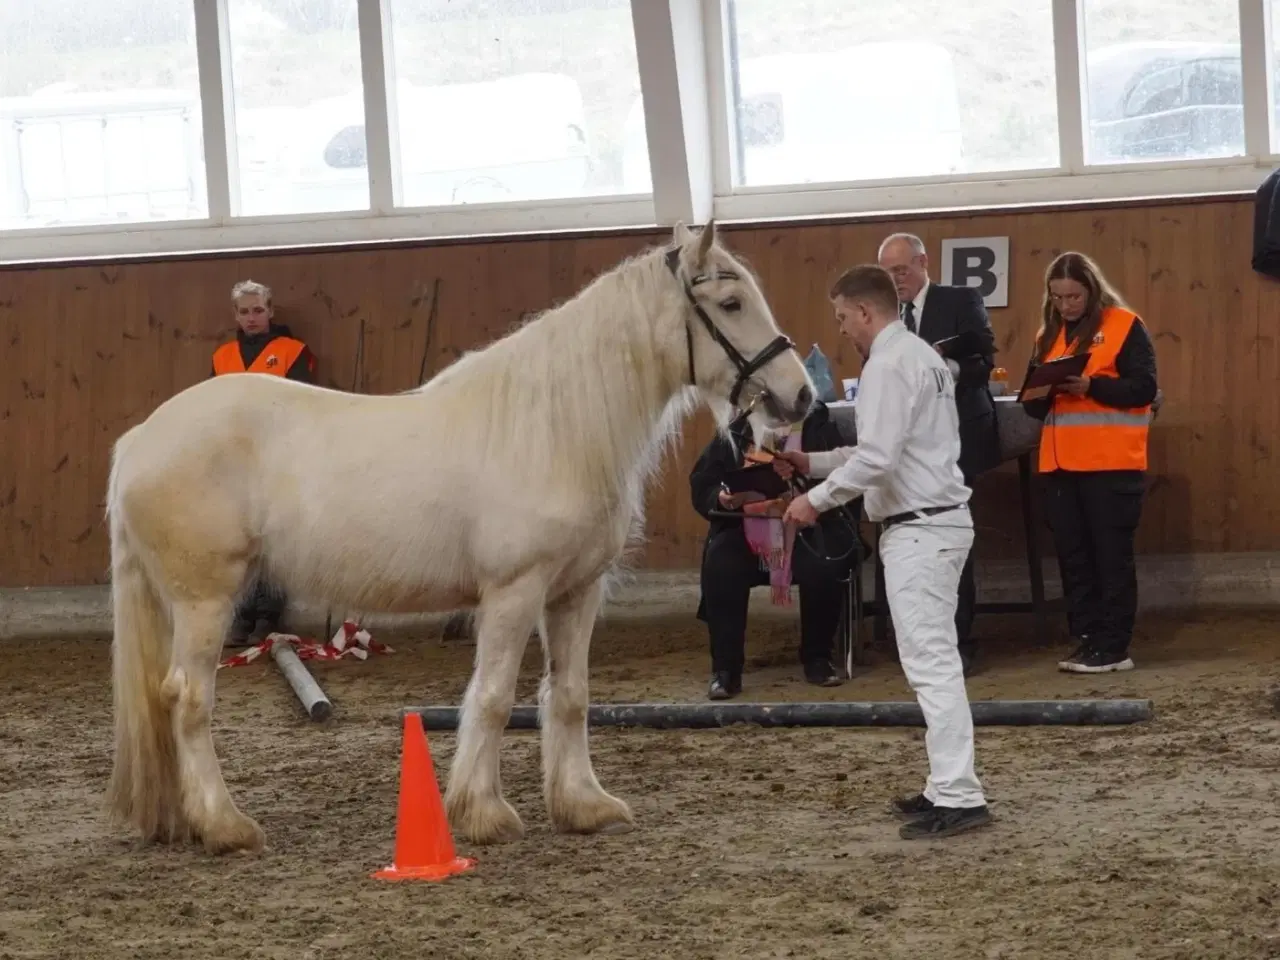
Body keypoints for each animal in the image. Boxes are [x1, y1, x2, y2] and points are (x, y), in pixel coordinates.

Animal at [104, 220, 814, 855]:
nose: (801, 397)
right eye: (731, 304)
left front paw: (583, 805)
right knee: (189, 699)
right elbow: (495, 697)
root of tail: (140, 438)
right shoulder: (514, 592)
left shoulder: (575, 592)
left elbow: (570, 695)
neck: (551, 429)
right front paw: (483, 813)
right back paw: (225, 826)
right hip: (205, 600)